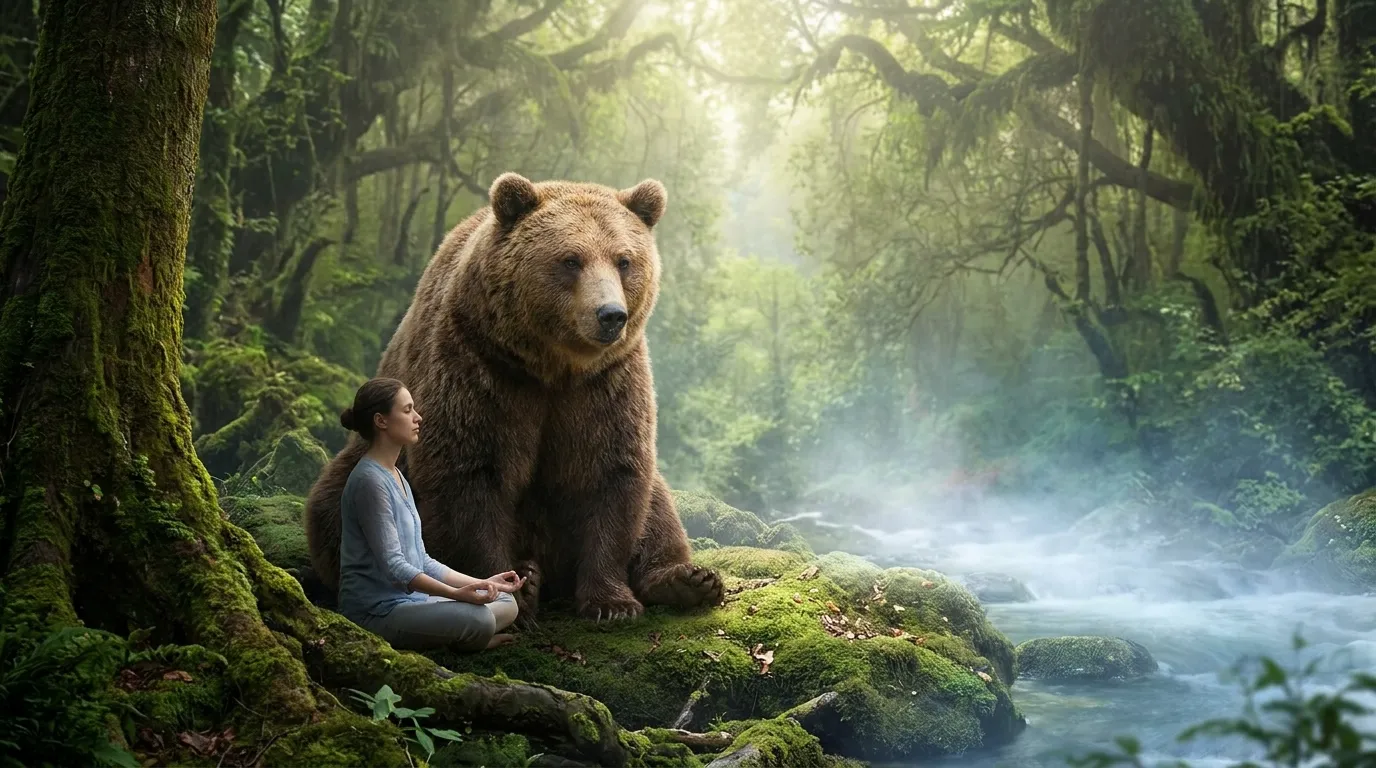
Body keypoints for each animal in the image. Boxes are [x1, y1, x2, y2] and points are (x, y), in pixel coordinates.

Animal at [305, 172, 723, 624]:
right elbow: (468, 474)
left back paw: (686, 580)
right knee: (332, 507)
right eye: (571, 260)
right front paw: (511, 594)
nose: (611, 315)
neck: (553, 366)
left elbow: (611, 474)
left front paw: (613, 602)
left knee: (660, 506)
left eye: (624, 260)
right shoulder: (480, 367)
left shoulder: (606, 383)